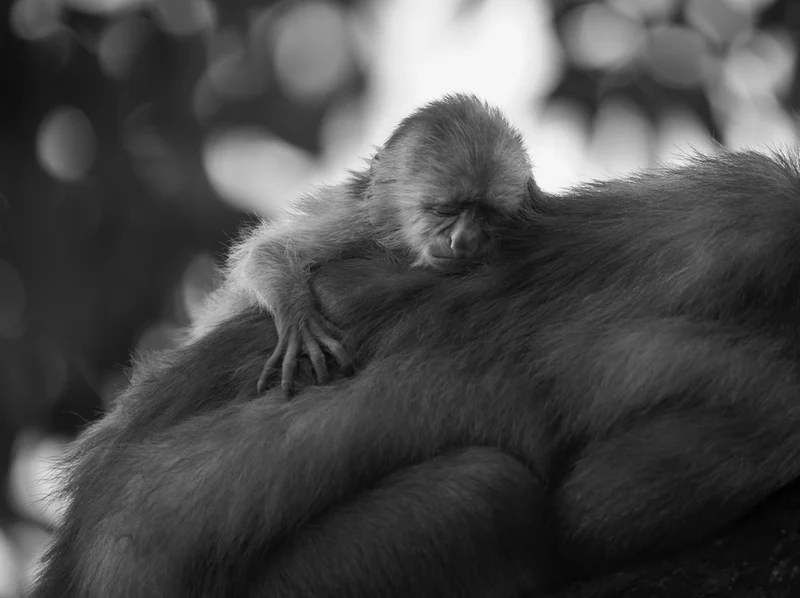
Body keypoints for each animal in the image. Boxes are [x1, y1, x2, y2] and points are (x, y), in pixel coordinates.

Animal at [192, 94, 535, 397]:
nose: (462, 239)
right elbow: (267, 252)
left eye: (487, 215)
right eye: (445, 210)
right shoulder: (357, 223)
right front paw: (298, 320)